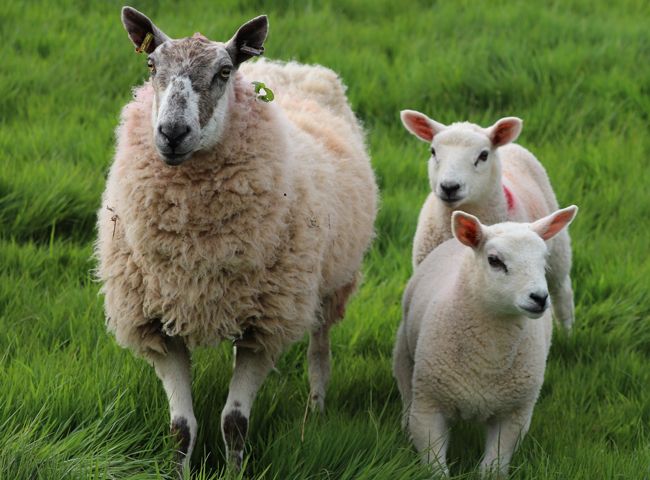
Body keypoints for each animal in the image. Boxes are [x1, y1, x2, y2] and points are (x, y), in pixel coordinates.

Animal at [94, 6, 378, 472]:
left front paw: (235, 470)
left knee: (319, 350)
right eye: (151, 66)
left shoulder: (265, 327)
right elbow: (182, 427)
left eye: (223, 72)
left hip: (330, 282)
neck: (195, 249)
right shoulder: (157, 326)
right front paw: (179, 472)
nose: (172, 133)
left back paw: (316, 411)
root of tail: (288, 66)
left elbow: (234, 422)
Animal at [390, 205, 576, 476]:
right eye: (495, 261)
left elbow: (494, 467)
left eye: (544, 261)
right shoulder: (428, 406)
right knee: (405, 390)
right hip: (404, 353)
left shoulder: (514, 415)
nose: (539, 298)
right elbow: (435, 467)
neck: (488, 358)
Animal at [398, 112, 576, 330]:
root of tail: (510, 146)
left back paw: (567, 332)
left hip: (558, 253)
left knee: (562, 292)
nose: (449, 187)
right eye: (433, 151)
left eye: (483, 155)